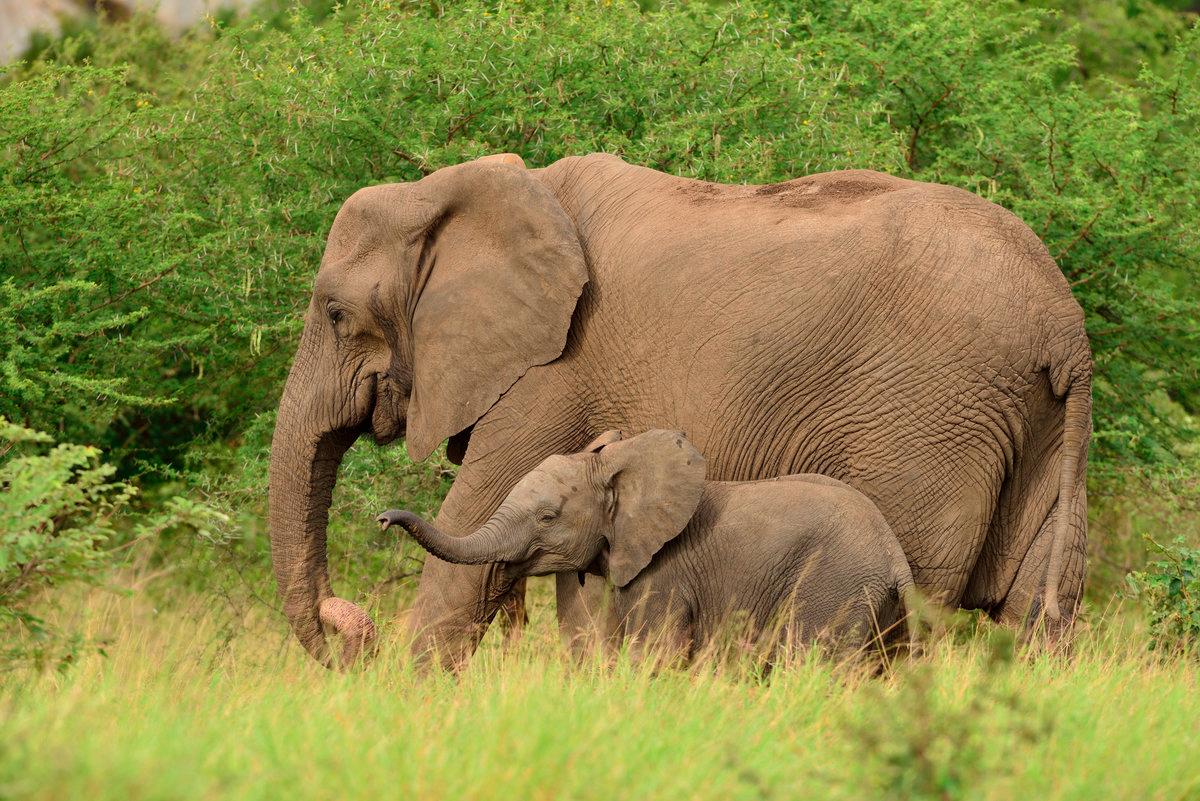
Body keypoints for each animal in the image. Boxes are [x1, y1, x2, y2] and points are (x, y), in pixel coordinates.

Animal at [377, 430, 916, 663]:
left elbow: (654, 652)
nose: (382, 518)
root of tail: (893, 556)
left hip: (834, 586)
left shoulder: (665, 573)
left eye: (548, 517)